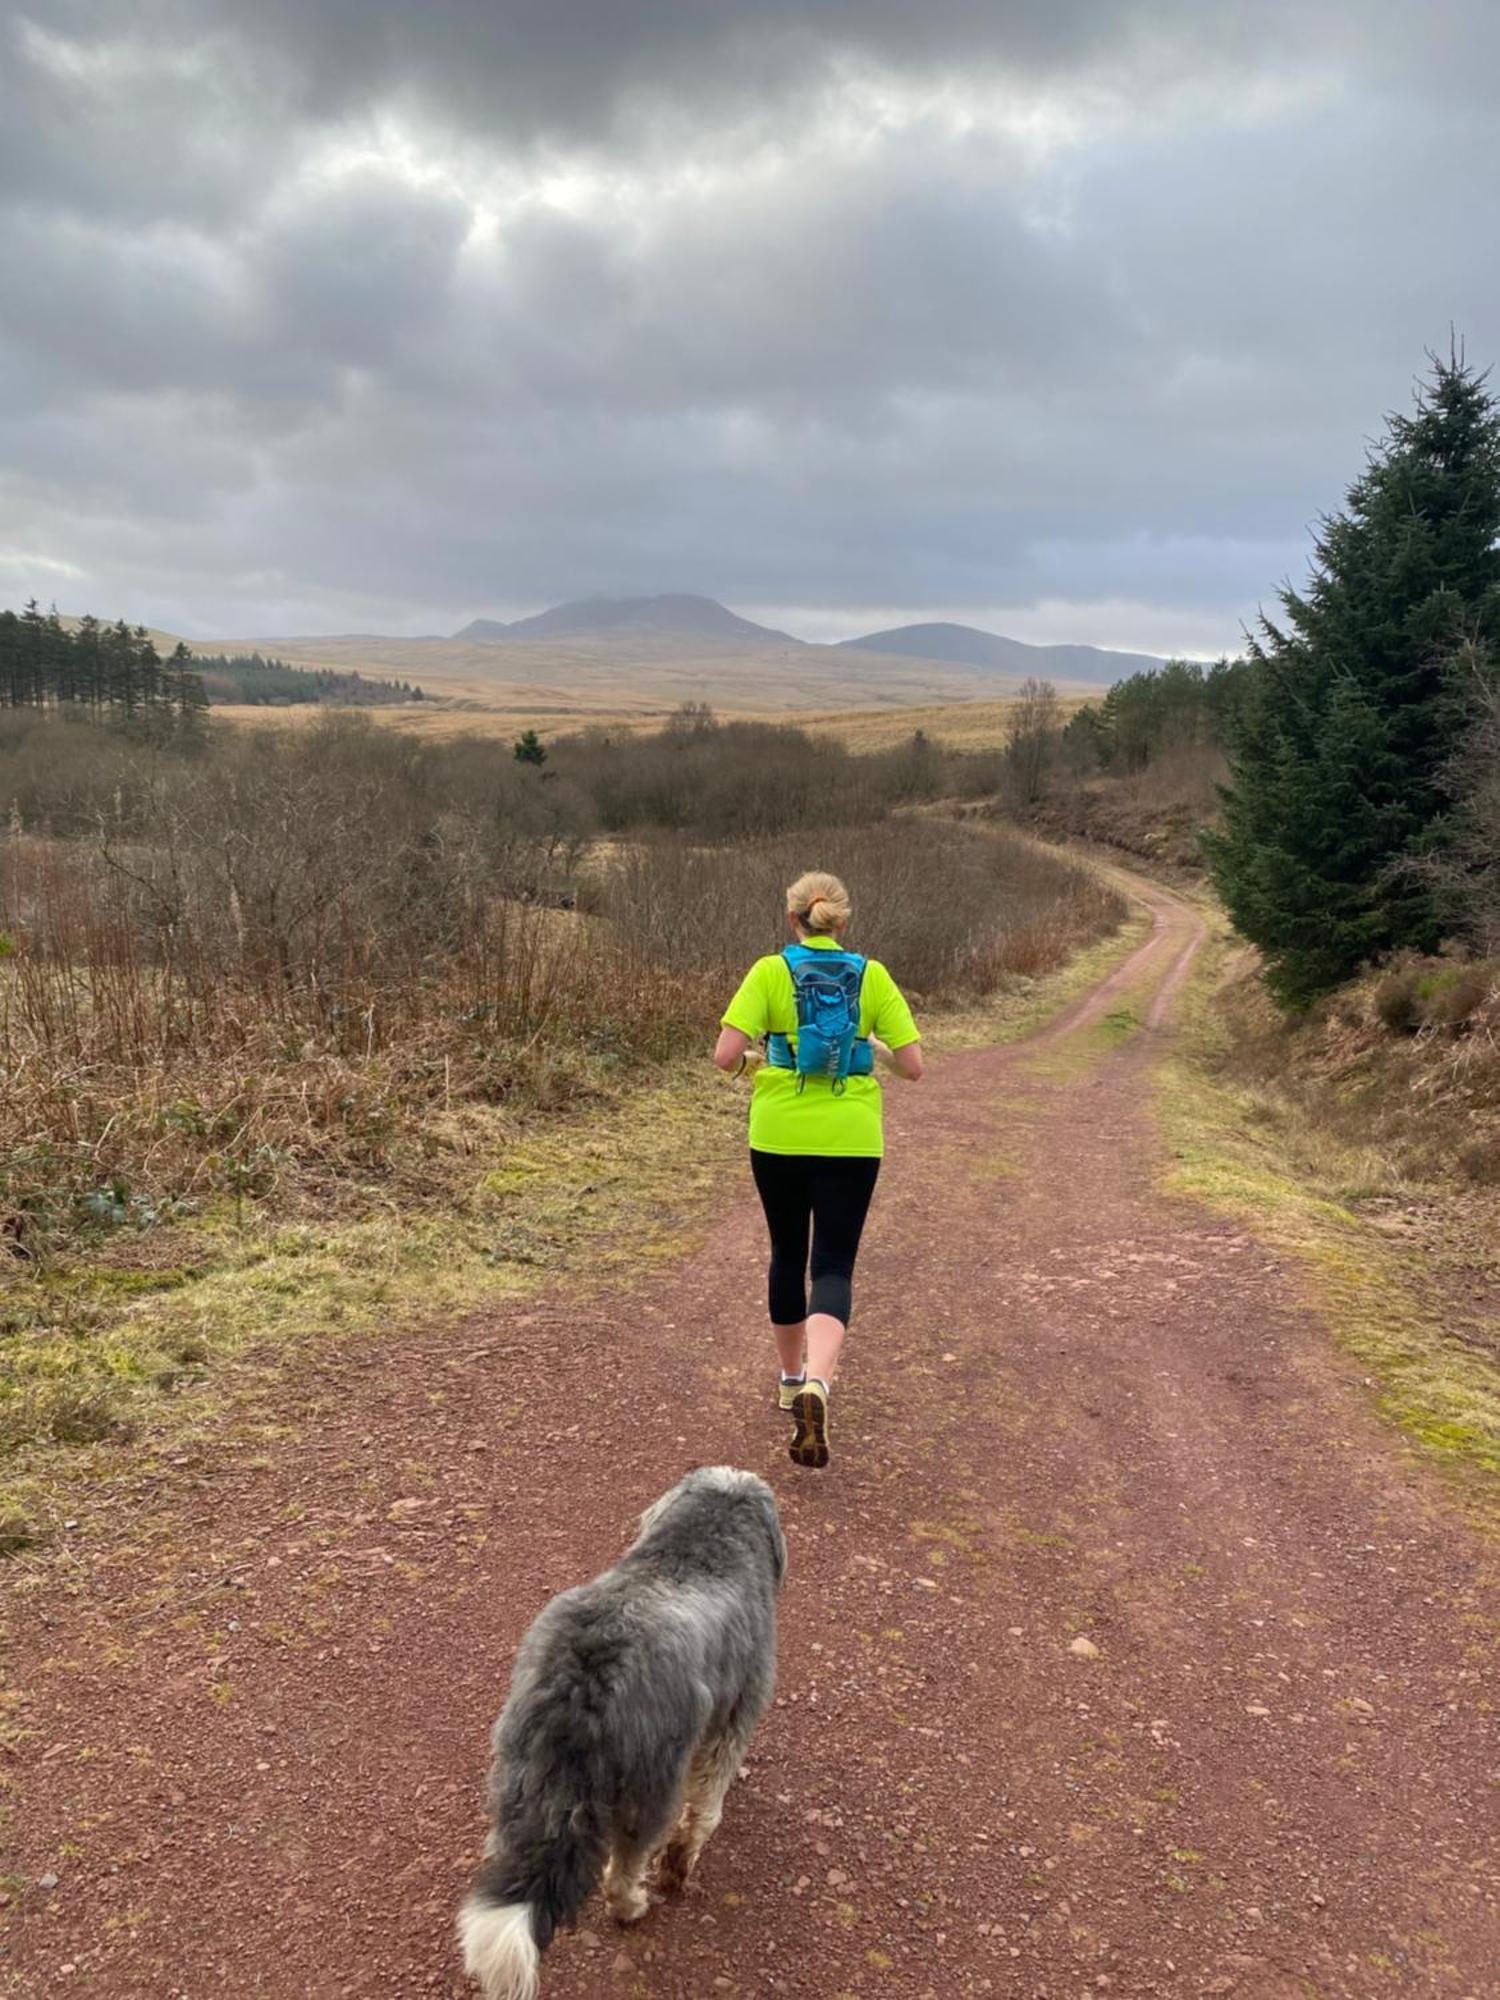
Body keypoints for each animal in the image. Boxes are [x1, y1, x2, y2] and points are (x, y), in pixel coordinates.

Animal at [458, 1464, 788, 1992]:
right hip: (649, 1786)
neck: (698, 1546)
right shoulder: (735, 1714)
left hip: (518, 1770)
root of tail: (583, 1683)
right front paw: (679, 1866)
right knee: (624, 1864)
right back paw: (633, 1905)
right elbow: (705, 1808)